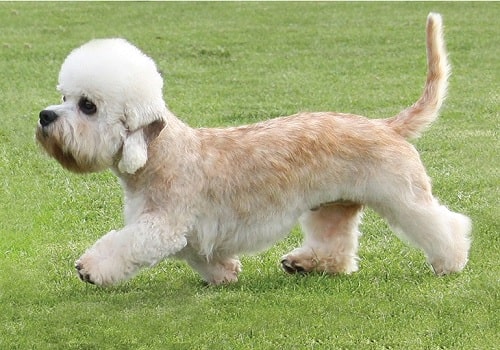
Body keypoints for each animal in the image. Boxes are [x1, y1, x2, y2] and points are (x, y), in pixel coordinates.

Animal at [37, 14, 470, 288]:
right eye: (64, 96)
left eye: (88, 106)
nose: (44, 116)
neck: (160, 156)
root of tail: (386, 126)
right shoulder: (191, 228)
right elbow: (197, 253)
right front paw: (225, 272)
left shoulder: (163, 224)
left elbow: (129, 245)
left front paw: (91, 267)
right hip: (331, 205)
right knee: (338, 251)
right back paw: (303, 262)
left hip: (402, 195)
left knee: (443, 224)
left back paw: (451, 261)